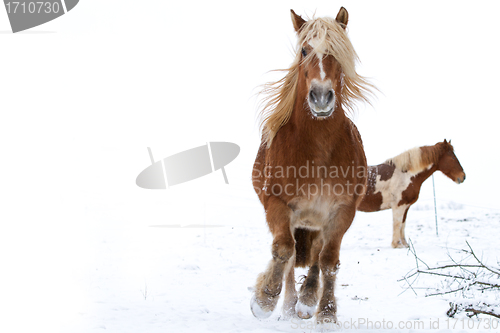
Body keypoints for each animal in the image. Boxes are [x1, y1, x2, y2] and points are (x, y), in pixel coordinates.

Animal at [252, 7, 374, 322]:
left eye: (337, 51)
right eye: (305, 50)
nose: (321, 97)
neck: (317, 153)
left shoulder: (342, 211)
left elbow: (328, 260)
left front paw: (325, 312)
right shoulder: (277, 204)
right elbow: (284, 250)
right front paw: (264, 300)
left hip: (318, 222)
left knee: (317, 254)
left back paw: (306, 299)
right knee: (292, 254)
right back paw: (288, 305)